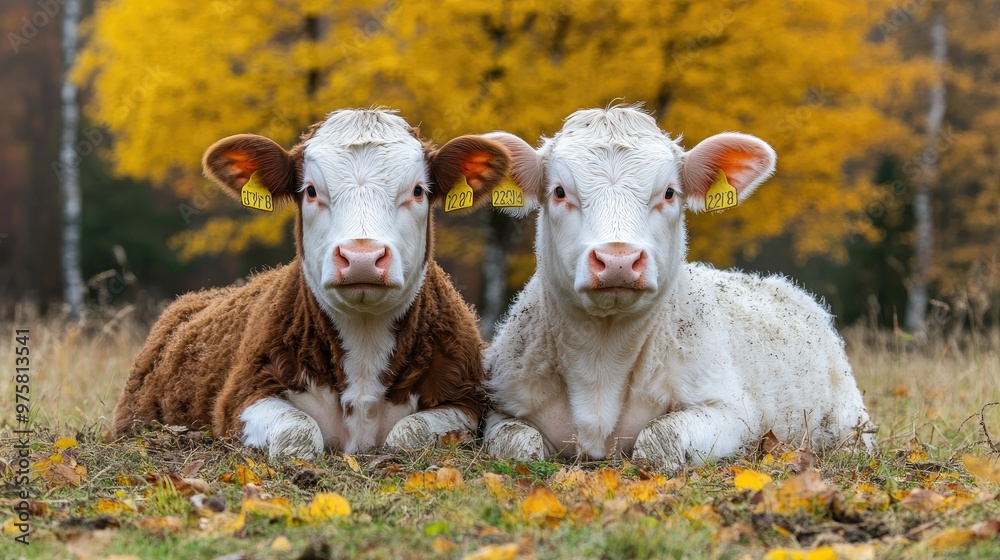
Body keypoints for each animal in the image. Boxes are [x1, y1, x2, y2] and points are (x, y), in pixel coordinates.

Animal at [113, 109, 513, 459]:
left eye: (417, 190)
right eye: (309, 191)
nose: (362, 256)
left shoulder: (464, 398)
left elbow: (406, 436)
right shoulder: (243, 396)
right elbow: (299, 434)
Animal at [480, 105, 876, 470]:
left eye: (669, 193)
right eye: (560, 191)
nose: (618, 259)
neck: (601, 365)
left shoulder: (733, 411)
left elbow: (658, 439)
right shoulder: (503, 407)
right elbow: (520, 445)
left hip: (849, 416)